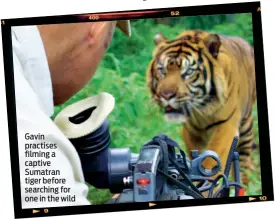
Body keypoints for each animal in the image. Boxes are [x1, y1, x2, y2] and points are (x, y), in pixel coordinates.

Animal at [148, 30, 258, 186]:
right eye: (162, 70)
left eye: (188, 72)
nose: (166, 95)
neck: (201, 110)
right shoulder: (191, 131)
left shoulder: (226, 126)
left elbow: (212, 159)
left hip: (246, 129)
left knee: (244, 161)